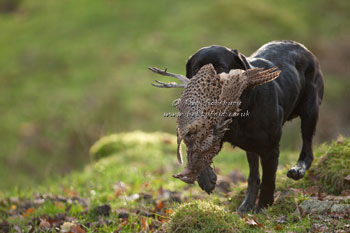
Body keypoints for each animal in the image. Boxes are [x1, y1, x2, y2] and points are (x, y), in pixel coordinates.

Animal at [186, 40, 326, 213]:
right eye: (196, 69)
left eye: (221, 67)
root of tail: (302, 47)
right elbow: (197, 155)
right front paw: (207, 180)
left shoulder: (270, 149)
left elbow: (268, 180)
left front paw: (264, 207)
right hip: (252, 145)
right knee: (253, 175)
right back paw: (246, 205)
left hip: (309, 111)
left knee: (308, 148)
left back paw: (298, 169)